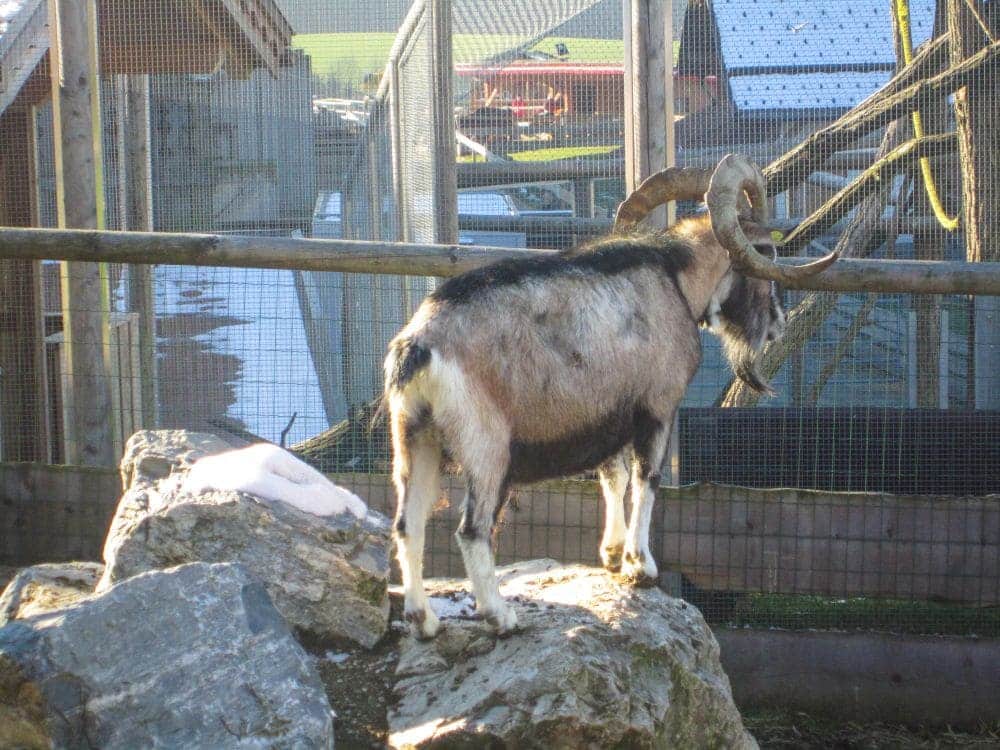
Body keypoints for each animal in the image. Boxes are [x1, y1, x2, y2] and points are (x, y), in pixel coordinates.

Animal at [383, 155, 836, 638]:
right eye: (766, 250)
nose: (778, 323)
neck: (674, 280)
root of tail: (420, 347)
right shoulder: (658, 407)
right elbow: (647, 479)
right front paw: (642, 566)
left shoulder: (609, 415)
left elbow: (613, 478)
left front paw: (613, 555)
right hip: (486, 449)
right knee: (472, 528)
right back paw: (500, 616)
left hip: (415, 440)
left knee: (408, 524)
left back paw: (423, 620)